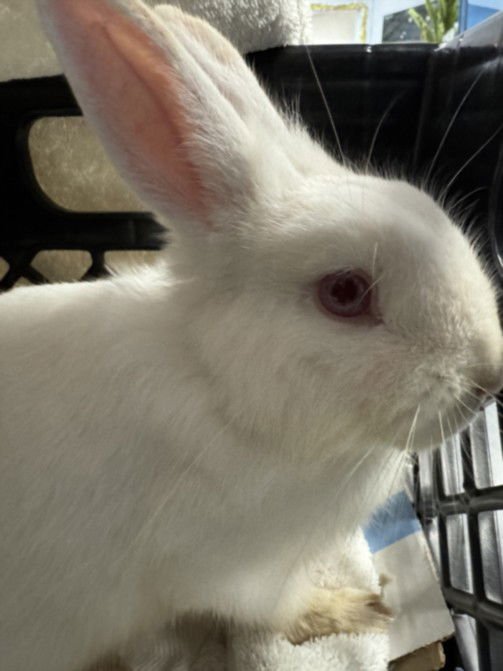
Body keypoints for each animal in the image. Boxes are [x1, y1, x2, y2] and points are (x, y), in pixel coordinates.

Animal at [1, 1, 502, 670]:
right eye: (345, 293)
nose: (490, 374)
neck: (223, 395)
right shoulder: (225, 573)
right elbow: (276, 610)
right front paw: (356, 607)